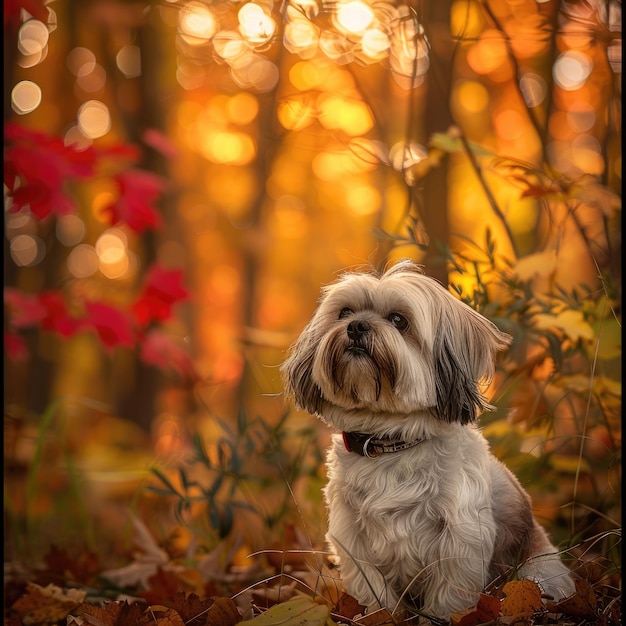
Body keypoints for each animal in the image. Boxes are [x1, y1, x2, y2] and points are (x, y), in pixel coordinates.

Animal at [280, 258, 572, 620]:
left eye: (398, 320)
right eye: (344, 312)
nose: (357, 326)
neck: (391, 442)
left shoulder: (461, 539)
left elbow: (448, 597)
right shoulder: (353, 539)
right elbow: (373, 594)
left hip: (539, 572)